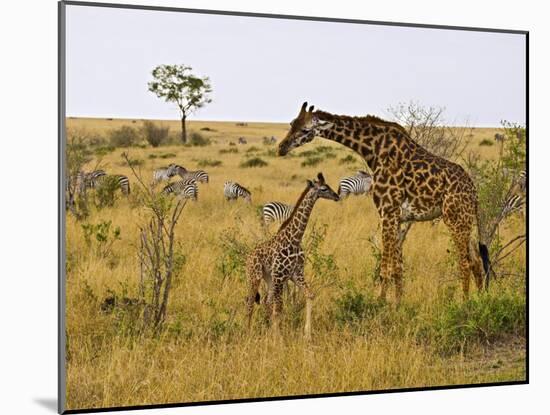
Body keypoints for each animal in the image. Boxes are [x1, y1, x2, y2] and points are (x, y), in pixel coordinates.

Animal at [247, 171, 340, 338]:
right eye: (323, 188)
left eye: (328, 186)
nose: (337, 196)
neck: (295, 240)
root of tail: (248, 257)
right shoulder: (280, 276)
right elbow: (279, 308)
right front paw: (278, 338)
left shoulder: (296, 274)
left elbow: (310, 295)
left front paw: (307, 333)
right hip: (255, 277)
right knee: (250, 302)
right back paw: (248, 332)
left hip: (268, 278)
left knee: (265, 301)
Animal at [280, 101, 492, 302]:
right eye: (291, 123)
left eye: (305, 130)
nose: (281, 147)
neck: (374, 150)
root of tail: (474, 192)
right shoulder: (397, 217)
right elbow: (398, 267)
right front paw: (397, 303)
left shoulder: (387, 211)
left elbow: (385, 268)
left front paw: (380, 302)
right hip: (465, 221)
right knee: (476, 262)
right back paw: (480, 300)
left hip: (454, 219)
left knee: (465, 262)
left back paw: (464, 303)